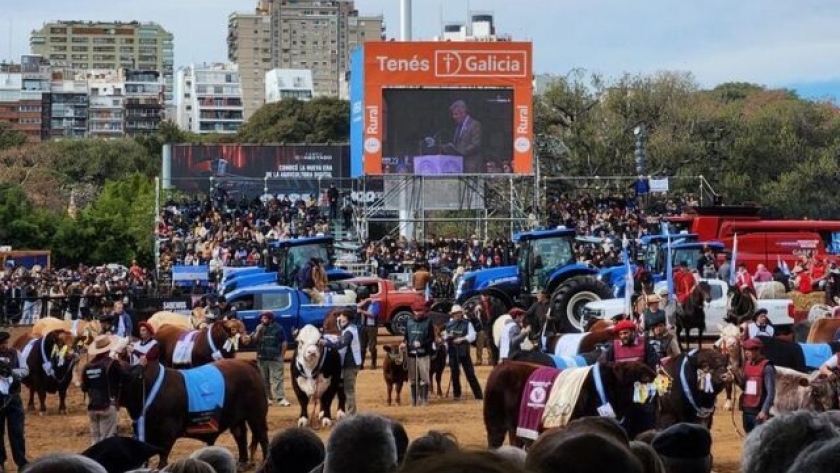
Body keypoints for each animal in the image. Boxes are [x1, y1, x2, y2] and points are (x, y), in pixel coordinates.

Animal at [116, 358, 268, 468]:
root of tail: (247, 363)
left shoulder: (167, 433)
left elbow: (163, 455)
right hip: (238, 419)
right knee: (240, 435)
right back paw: (242, 463)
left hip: (257, 416)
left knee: (262, 437)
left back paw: (264, 462)